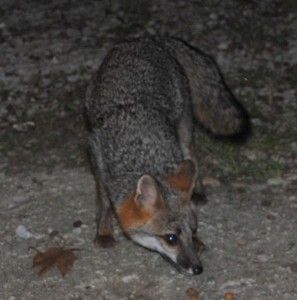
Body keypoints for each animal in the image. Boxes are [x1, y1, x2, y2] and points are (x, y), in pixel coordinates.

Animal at [84, 36, 249, 276]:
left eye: (193, 231)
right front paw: (104, 231)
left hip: (184, 129)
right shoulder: (97, 157)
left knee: (193, 156)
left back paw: (198, 190)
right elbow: (104, 202)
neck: (140, 152)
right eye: (171, 239)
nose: (198, 269)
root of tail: (146, 39)